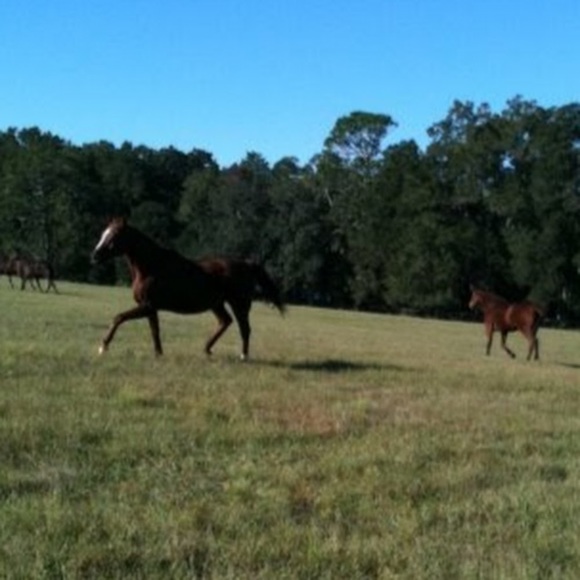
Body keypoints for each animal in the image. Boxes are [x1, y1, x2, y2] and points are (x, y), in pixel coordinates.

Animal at [90, 218, 286, 358]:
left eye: (114, 235)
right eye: (103, 233)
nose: (95, 256)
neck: (151, 266)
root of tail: (246, 264)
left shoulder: (147, 306)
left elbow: (119, 317)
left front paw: (103, 346)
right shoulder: (150, 308)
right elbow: (155, 331)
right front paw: (159, 354)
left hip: (239, 304)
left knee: (244, 328)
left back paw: (243, 356)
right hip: (217, 304)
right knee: (225, 321)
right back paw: (206, 349)